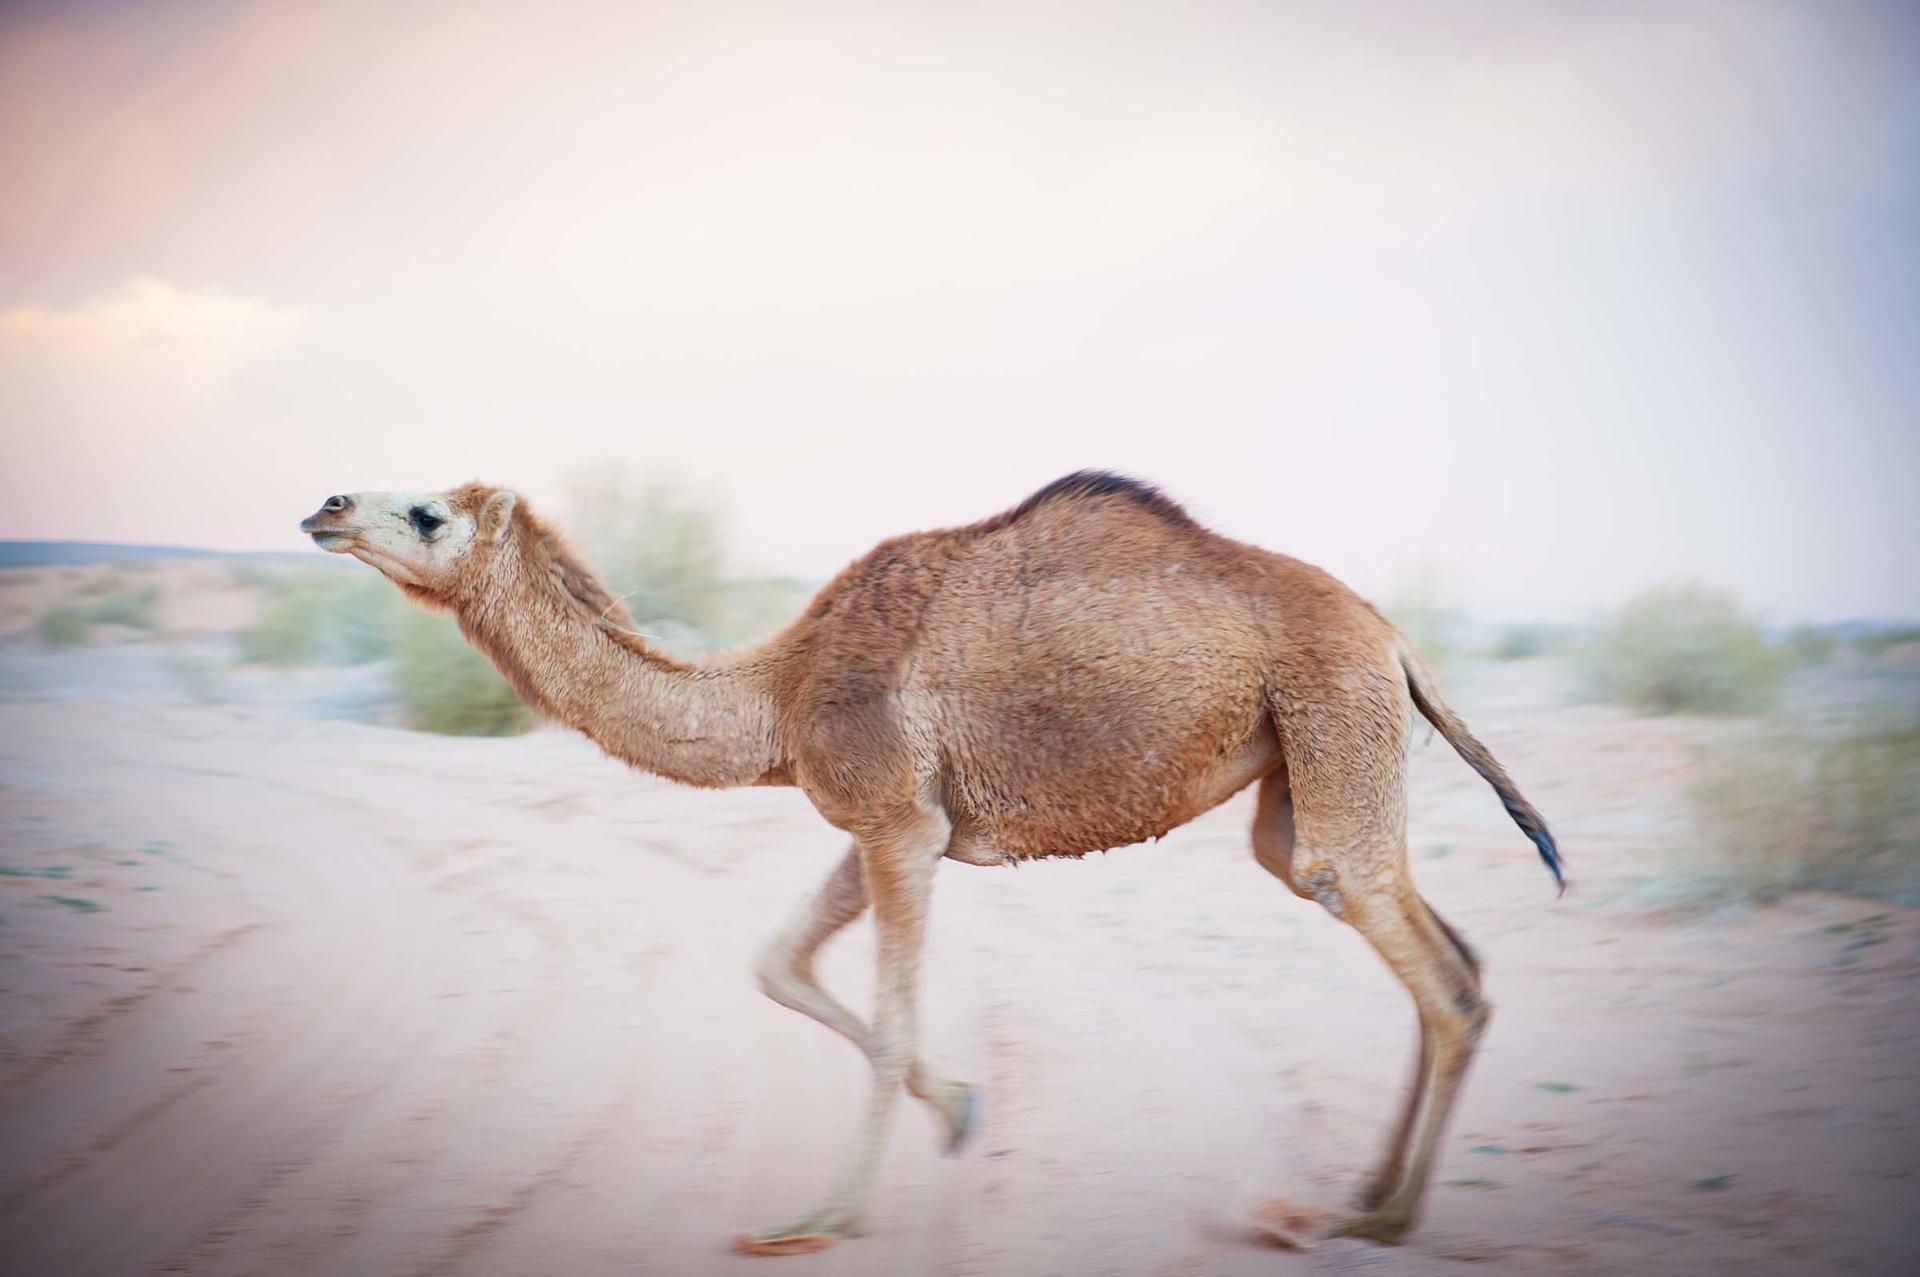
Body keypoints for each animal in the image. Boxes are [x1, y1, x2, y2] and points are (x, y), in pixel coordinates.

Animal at [295, 472, 1559, 1252]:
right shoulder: (883, 820)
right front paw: (959, 1108)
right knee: (1444, 947)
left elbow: (890, 1017)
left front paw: (822, 1217)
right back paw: (1367, 1193)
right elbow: (777, 964)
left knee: (1435, 970)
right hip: (1297, 777)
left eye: (427, 512)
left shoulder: (898, 822)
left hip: (1334, 721)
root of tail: (1394, 635)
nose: (325, 504)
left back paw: (1384, 1221)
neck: (778, 687)